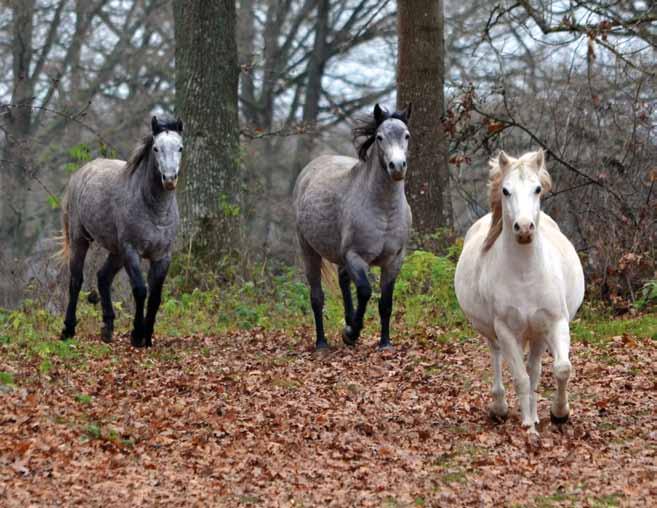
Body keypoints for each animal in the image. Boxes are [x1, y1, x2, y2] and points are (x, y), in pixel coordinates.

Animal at [59, 115, 183, 348]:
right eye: (156, 148)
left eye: (180, 147)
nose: (170, 179)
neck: (154, 210)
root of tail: (82, 172)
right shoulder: (132, 251)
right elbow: (140, 290)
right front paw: (137, 335)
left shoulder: (162, 257)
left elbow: (155, 297)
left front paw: (148, 337)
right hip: (81, 240)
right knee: (76, 281)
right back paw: (68, 329)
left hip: (116, 252)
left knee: (103, 277)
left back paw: (107, 327)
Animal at [294, 103, 412, 350]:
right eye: (379, 137)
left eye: (406, 135)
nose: (397, 167)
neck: (383, 210)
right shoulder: (355, 256)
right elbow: (365, 291)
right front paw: (351, 332)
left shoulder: (394, 260)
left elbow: (386, 302)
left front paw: (385, 343)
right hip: (308, 250)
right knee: (317, 297)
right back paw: (322, 343)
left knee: (343, 281)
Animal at [456, 151, 584, 436]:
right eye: (506, 190)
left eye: (538, 189)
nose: (524, 228)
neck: (525, 275)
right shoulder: (504, 330)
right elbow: (521, 378)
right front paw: (527, 425)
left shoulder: (555, 322)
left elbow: (561, 369)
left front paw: (559, 414)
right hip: (493, 332)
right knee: (496, 357)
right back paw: (500, 408)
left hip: (537, 334)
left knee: (535, 368)